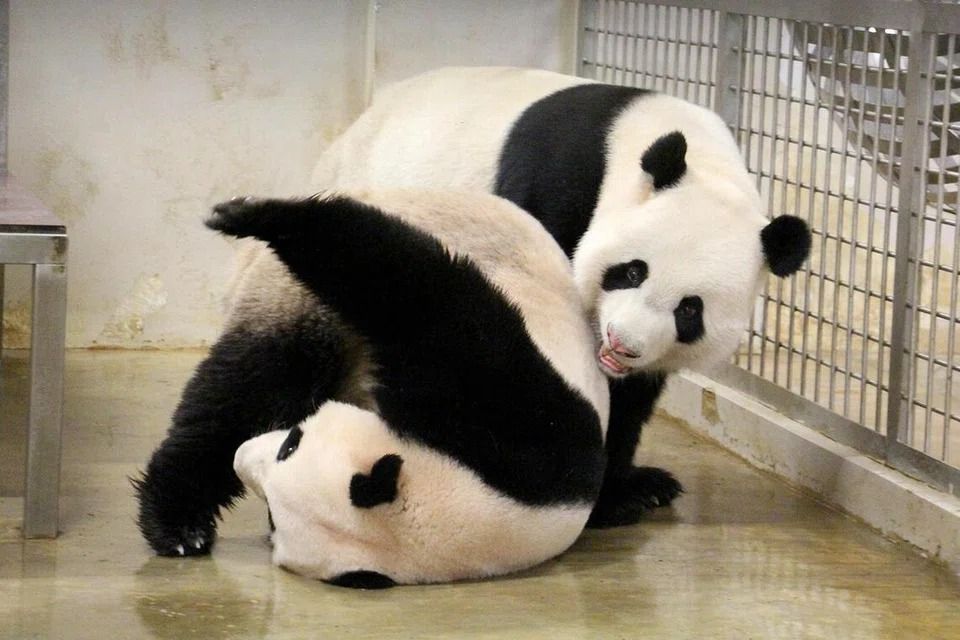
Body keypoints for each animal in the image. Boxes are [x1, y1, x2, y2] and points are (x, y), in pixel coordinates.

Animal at [136, 188, 610, 585]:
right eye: (293, 441)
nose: (244, 457)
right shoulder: (519, 419)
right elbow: (426, 305)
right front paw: (251, 213)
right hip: (299, 300)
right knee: (253, 385)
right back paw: (179, 523)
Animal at [309, 66, 813, 526]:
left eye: (690, 310)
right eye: (633, 271)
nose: (622, 344)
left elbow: (631, 397)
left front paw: (630, 489)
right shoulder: (558, 190)